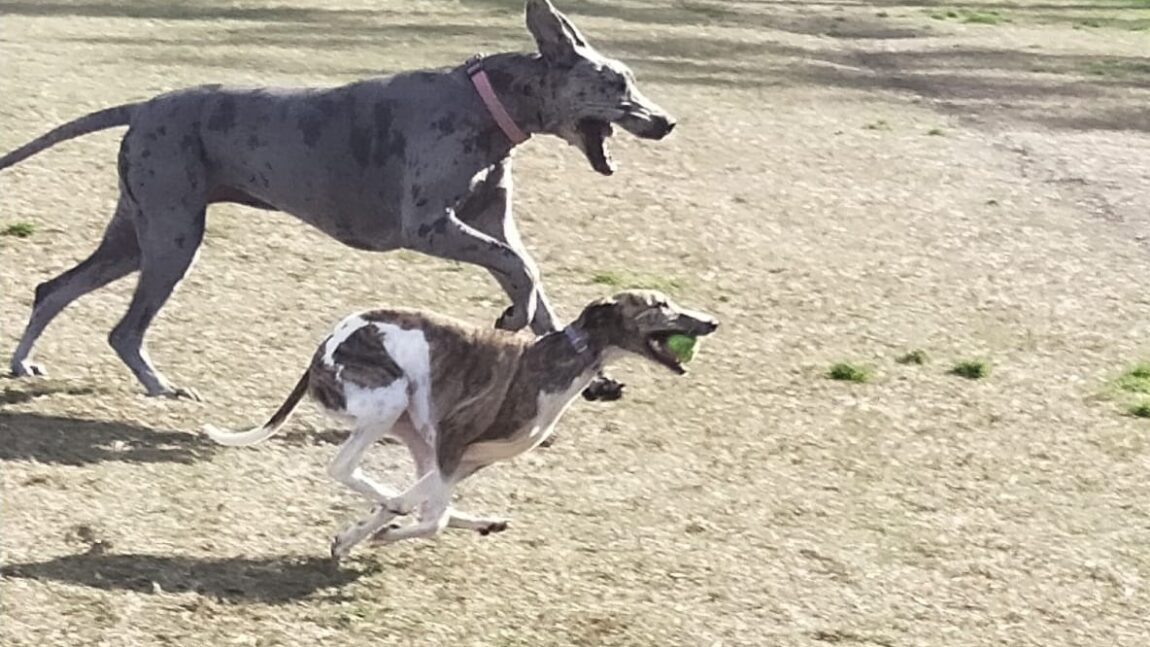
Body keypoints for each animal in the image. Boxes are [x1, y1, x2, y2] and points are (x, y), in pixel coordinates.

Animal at [2, 0, 671, 402]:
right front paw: (513, 317)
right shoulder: (429, 227)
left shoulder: (492, 223)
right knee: (122, 328)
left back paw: (22, 364)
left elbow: (532, 280)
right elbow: (522, 271)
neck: (489, 103)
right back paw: (160, 386)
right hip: (171, 238)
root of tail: (142, 108)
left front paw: (583, 370)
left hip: (136, 236)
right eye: (617, 83)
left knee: (53, 288)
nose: (667, 122)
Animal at [202, 290, 713, 558]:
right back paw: (392, 505)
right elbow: (431, 516)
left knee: (411, 485)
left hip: (412, 427)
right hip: (389, 401)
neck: (555, 360)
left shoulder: (466, 457)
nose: (711, 321)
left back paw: (467, 518)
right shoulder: (453, 438)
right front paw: (382, 527)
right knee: (343, 468)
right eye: (659, 304)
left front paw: (358, 534)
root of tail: (321, 349)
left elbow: (430, 504)